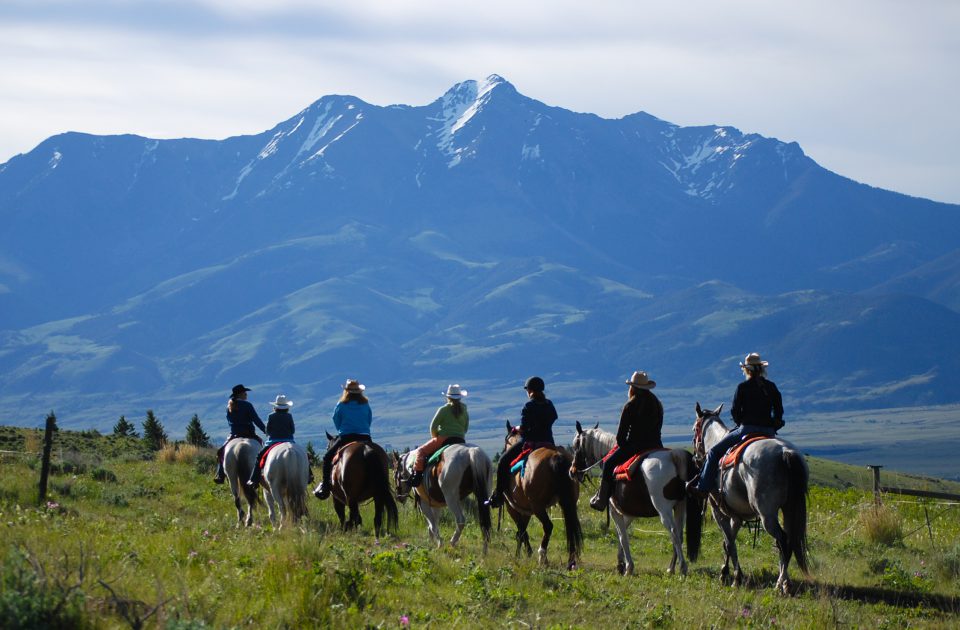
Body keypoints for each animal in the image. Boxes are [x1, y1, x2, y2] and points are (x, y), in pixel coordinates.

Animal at [498, 422, 580, 572]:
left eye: (506, 441)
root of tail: (557, 457)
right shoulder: (525, 510)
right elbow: (522, 531)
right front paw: (524, 553)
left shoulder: (513, 508)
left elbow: (521, 531)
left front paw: (522, 554)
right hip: (569, 503)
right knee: (570, 527)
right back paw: (570, 562)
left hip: (538, 506)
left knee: (548, 526)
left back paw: (542, 557)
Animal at [692, 402, 808, 596]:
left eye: (694, 429)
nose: (696, 457)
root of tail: (785, 453)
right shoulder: (737, 517)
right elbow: (728, 543)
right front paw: (727, 574)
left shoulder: (718, 512)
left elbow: (729, 543)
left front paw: (734, 577)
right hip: (789, 509)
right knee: (789, 541)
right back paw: (785, 582)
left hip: (767, 514)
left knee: (783, 541)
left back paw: (781, 584)